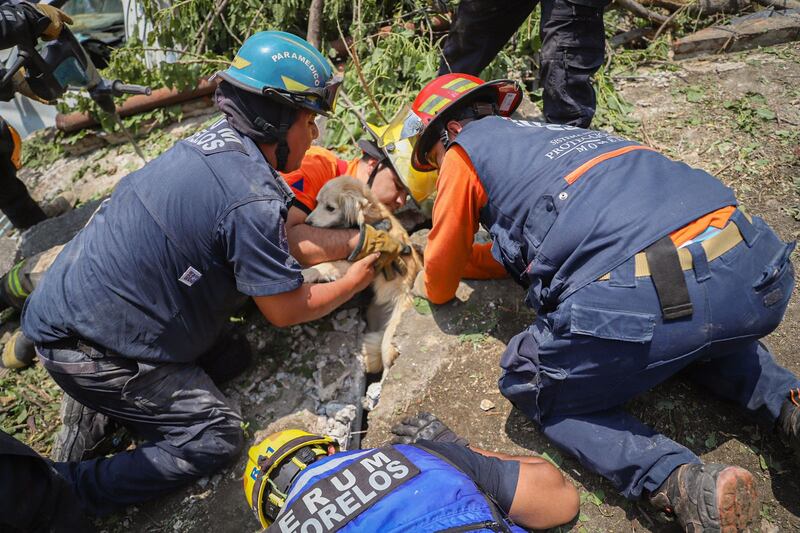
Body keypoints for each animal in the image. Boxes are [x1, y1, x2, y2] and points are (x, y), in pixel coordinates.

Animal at [302, 177, 424, 372]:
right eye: (317, 202)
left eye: (330, 208)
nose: (307, 222)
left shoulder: (352, 261)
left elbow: (327, 265)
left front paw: (307, 272)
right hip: (373, 317)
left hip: (389, 338)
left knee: (387, 359)